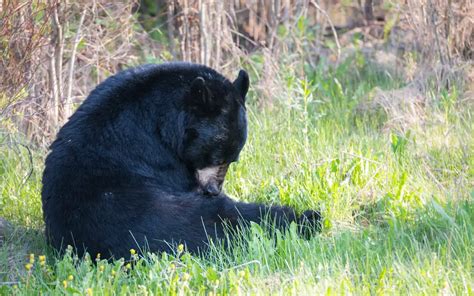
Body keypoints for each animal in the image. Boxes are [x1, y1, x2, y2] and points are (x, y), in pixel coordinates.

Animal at [41, 63, 322, 260]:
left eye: (234, 159)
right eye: (215, 155)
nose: (213, 190)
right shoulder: (158, 156)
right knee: (237, 217)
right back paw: (308, 217)